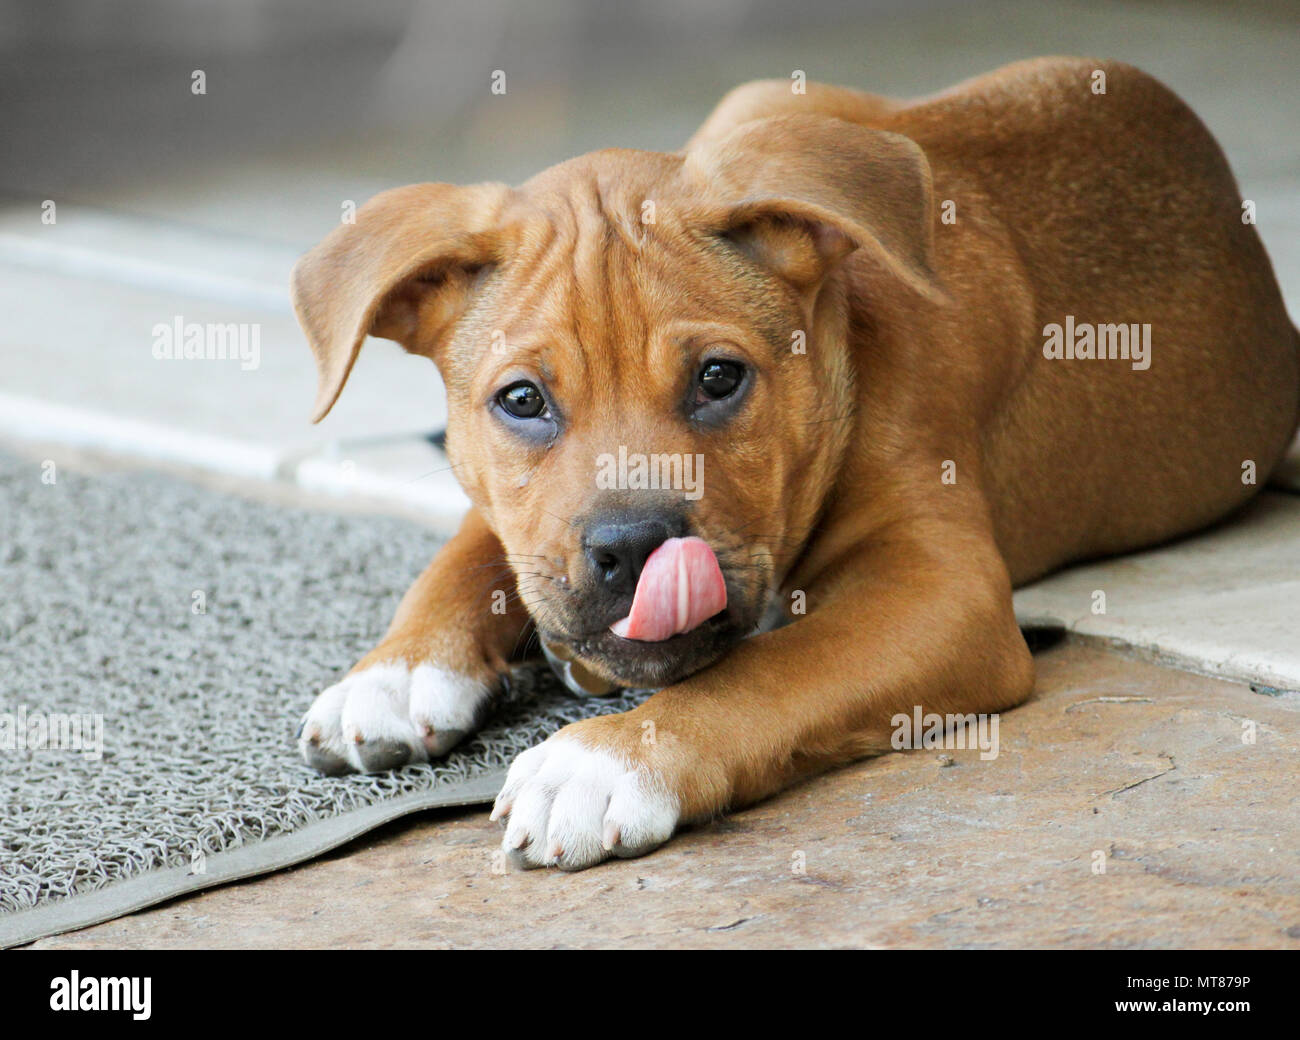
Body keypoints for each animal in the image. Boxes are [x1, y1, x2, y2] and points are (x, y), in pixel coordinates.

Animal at [289, 58, 1294, 868]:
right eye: (522, 400)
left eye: (720, 378)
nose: (634, 548)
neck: (845, 344)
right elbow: (470, 545)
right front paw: (396, 669)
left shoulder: (943, 591)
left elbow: (770, 670)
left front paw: (608, 760)